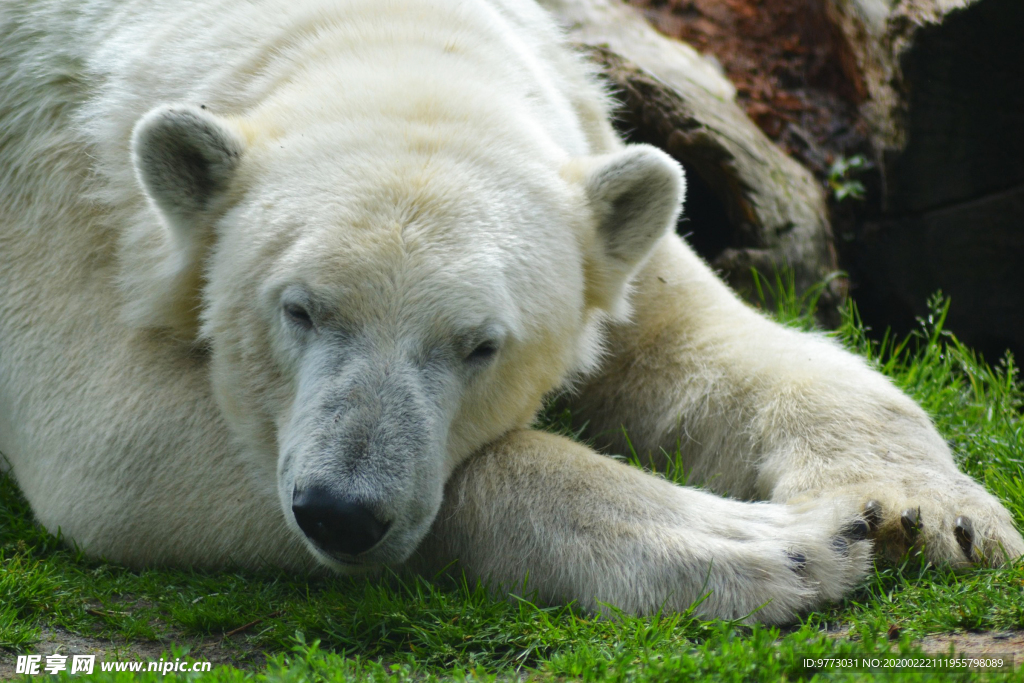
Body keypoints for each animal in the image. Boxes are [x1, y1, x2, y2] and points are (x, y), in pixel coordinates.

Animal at [0, 0, 1019, 626]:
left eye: (480, 343)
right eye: (299, 310)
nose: (342, 512)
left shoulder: (594, 181)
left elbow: (697, 343)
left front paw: (926, 514)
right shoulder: (61, 193)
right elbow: (112, 443)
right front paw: (783, 545)